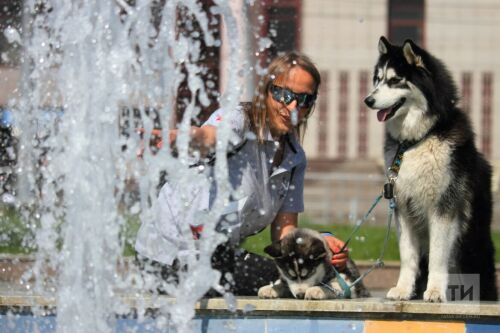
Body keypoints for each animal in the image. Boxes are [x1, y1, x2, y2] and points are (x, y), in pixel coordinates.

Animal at [366, 36, 498, 300]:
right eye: (378, 79)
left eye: (395, 80)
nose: (368, 100)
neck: (419, 139)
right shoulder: (403, 207)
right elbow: (408, 255)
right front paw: (403, 289)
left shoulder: (444, 206)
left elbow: (438, 254)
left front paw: (435, 291)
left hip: (474, 242)